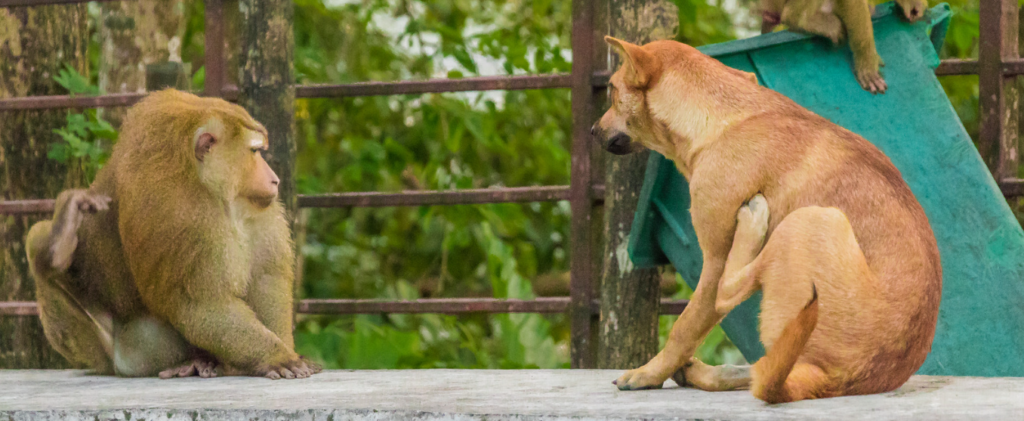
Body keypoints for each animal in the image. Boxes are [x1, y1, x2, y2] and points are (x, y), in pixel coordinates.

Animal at [27, 89, 319, 379]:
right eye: (255, 151)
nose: (274, 179)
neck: (205, 183)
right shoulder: (181, 213)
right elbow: (202, 304)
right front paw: (277, 356)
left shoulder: (257, 207)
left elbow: (266, 278)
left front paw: (286, 351)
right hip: (118, 352)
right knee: (39, 243)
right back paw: (57, 247)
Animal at [593, 37, 942, 403]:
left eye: (612, 90)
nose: (591, 131)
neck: (722, 119)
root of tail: (836, 381)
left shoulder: (714, 259)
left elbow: (685, 328)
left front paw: (647, 374)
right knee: (761, 370)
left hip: (812, 219)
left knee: (729, 294)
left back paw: (753, 225)